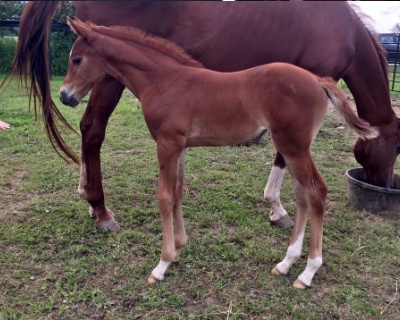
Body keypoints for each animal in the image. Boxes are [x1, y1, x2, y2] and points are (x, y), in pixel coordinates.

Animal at [10, 0, 400, 230]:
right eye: (397, 148)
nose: (384, 186)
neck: (344, 28)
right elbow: (283, 153)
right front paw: (277, 208)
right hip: (108, 76)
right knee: (92, 129)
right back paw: (101, 209)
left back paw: (87, 195)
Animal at [60, 16, 378, 288]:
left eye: (76, 59)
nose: (65, 96)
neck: (164, 80)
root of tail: (318, 81)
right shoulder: (180, 146)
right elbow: (177, 193)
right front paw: (178, 249)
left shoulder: (166, 144)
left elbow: (164, 197)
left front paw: (161, 265)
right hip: (293, 148)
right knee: (303, 195)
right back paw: (286, 263)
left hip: (294, 146)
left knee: (315, 193)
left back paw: (308, 272)